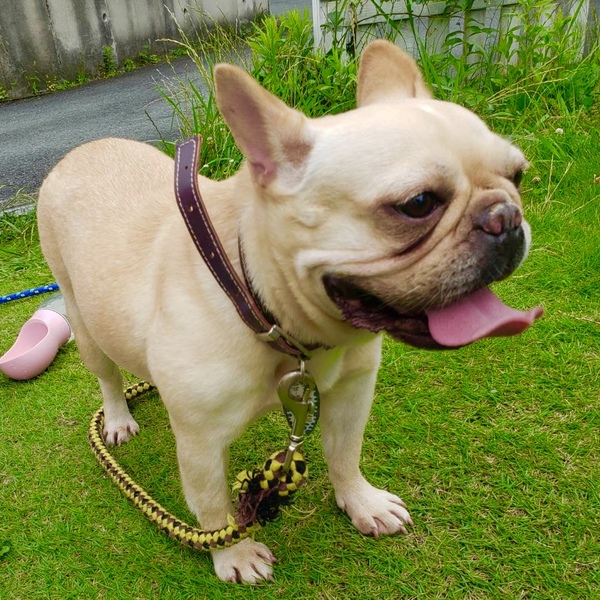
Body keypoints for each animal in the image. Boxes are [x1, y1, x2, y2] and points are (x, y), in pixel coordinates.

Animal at [37, 40, 541, 583]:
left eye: (518, 176)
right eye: (418, 203)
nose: (506, 216)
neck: (256, 298)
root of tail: (81, 151)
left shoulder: (351, 392)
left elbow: (345, 453)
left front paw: (360, 502)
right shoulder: (199, 440)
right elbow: (213, 506)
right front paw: (233, 554)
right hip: (83, 321)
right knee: (107, 375)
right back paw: (116, 418)